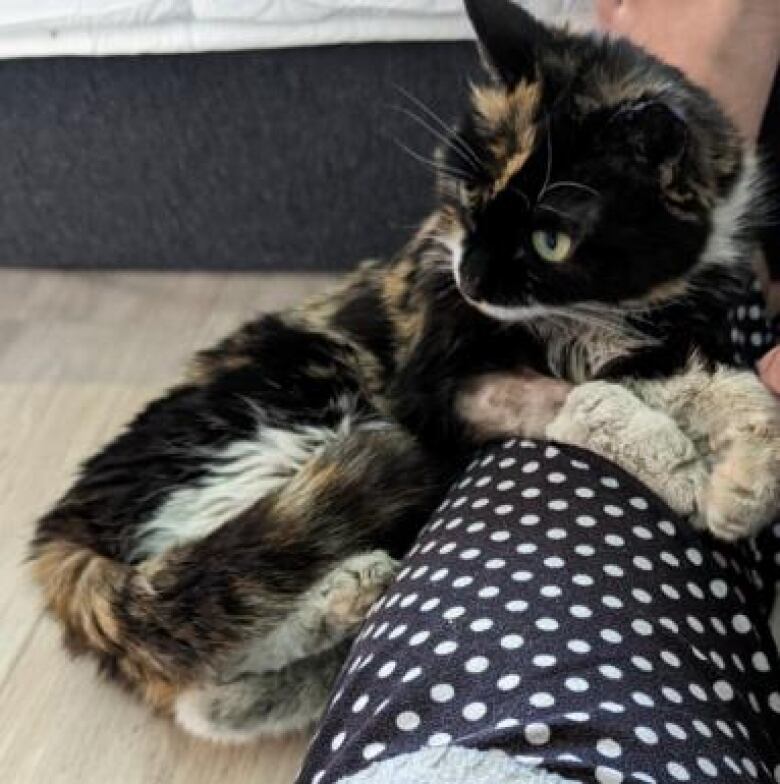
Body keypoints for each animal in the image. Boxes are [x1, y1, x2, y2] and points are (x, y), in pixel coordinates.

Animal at [27, 0, 776, 744]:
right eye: (467, 199)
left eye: (550, 239)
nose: (469, 278)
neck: (593, 312)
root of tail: (64, 531)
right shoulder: (440, 379)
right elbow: (580, 400)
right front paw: (679, 465)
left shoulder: (661, 339)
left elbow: (720, 383)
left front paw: (747, 484)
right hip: (298, 414)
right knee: (204, 610)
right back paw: (350, 589)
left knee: (204, 687)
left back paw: (328, 643)